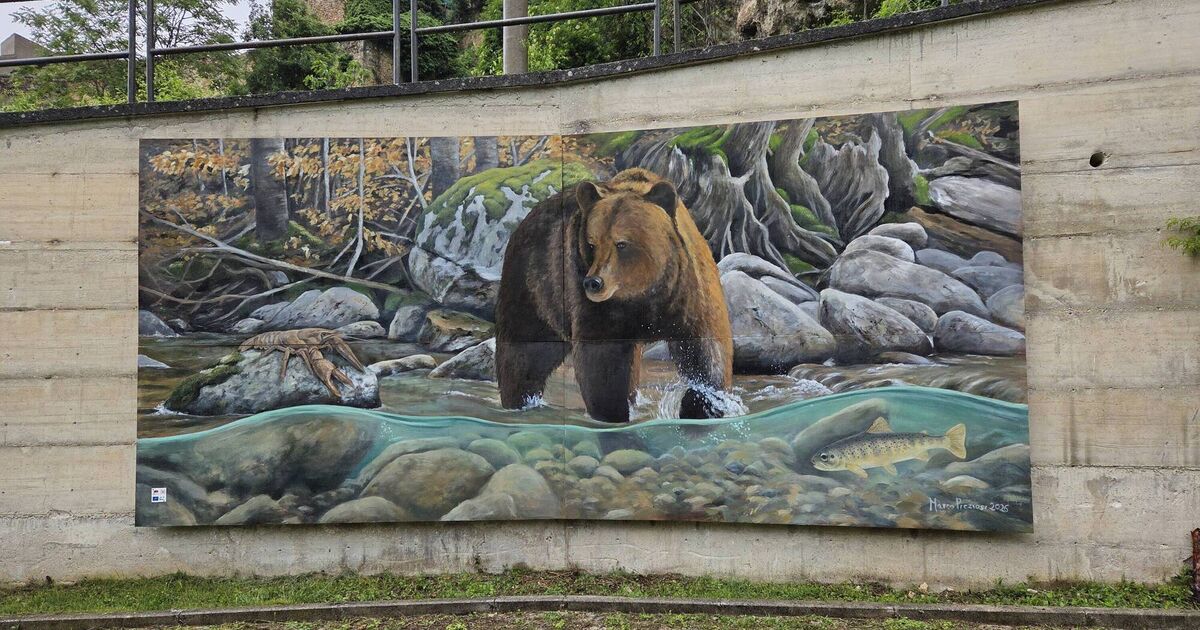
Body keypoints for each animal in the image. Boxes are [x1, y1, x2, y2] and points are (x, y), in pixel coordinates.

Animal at [495, 167, 733, 423]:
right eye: (592, 244)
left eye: (621, 243)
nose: (593, 283)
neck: (644, 292)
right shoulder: (595, 304)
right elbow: (601, 362)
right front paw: (613, 415)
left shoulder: (689, 293)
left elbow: (706, 350)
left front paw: (701, 403)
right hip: (534, 290)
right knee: (525, 356)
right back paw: (519, 401)